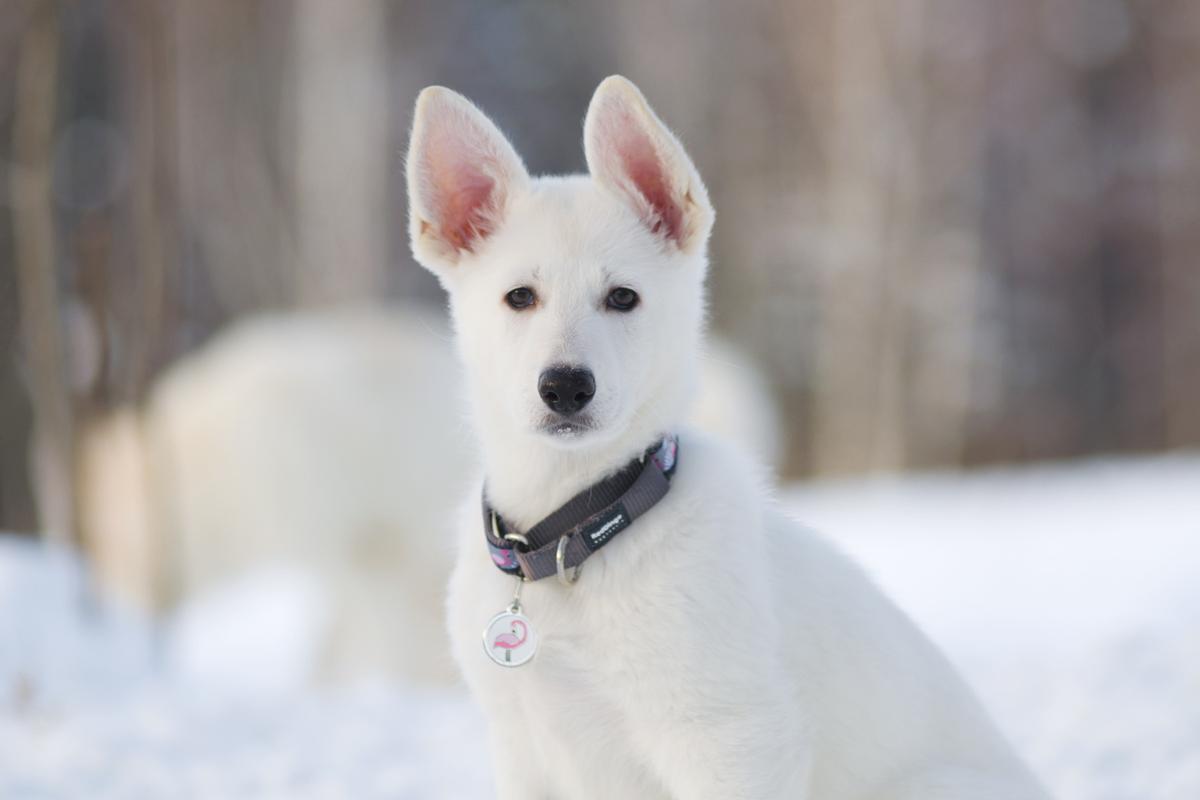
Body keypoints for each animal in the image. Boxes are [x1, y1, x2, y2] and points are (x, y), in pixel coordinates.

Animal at [403, 74, 1041, 800]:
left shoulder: (726, 737)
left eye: (623, 298)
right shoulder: (524, 749)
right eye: (519, 297)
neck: (575, 534)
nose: (565, 387)